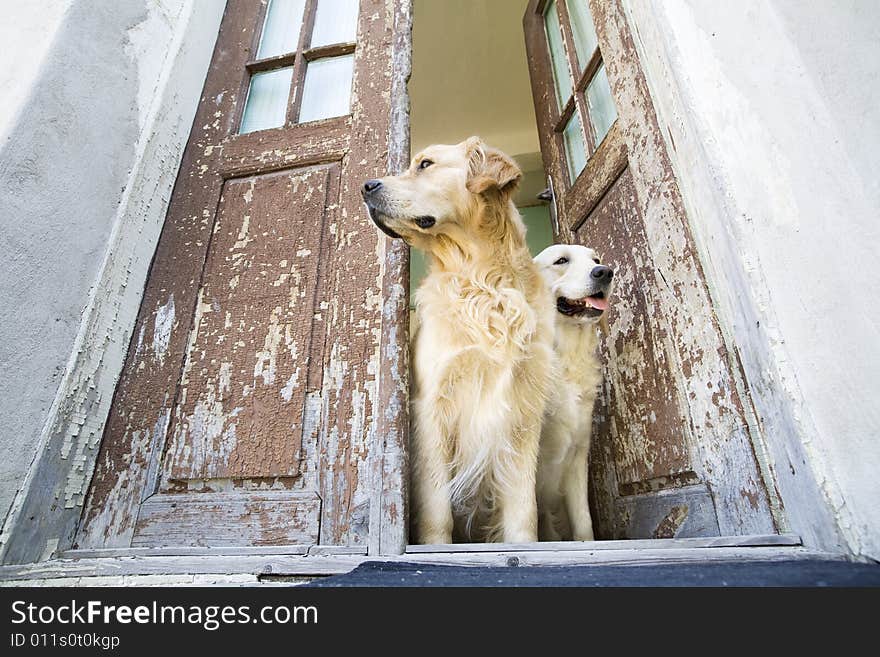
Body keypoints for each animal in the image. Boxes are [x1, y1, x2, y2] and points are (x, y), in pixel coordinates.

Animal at [360, 136, 552, 540]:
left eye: (425, 164)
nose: (366, 186)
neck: (481, 279)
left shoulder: (524, 411)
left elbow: (524, 510)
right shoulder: (432, 404)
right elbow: (437, 509)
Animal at [532, 243, 616, 540]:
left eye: (596, 259)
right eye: (561, 261)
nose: (605, 272)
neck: (565, 357)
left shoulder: (578, 455)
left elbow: (583, 522)